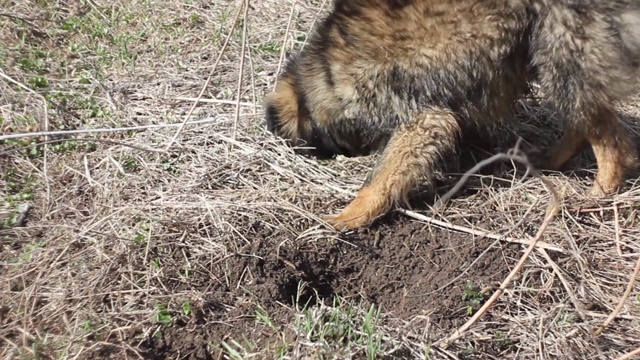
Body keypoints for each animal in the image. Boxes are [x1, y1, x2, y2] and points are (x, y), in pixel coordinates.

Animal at [262, 0, 640, 231]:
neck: (327, 74)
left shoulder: (419, 118)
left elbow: (381, 178)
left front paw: (351, 214)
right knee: (582, 116)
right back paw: (551, 159)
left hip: (560, 43)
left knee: (611, 139)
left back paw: (600, 191)